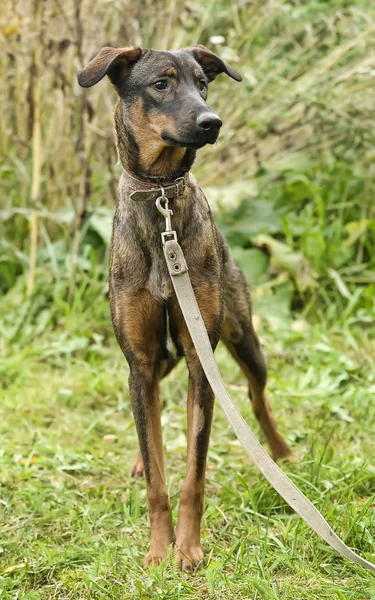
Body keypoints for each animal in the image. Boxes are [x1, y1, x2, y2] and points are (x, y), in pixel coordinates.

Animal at [78, 45, 290, 572]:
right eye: (161, 83)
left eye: (204, 84)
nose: (212, 121)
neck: (161, 203)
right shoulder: (140, 360)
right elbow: (157, 476)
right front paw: (158, 549)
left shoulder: (200, 360)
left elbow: (194, 473)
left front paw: (188, 549)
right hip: (155, 361)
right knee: (150, 415)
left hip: (242, 337)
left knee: (256, 395)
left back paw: (281, 453)